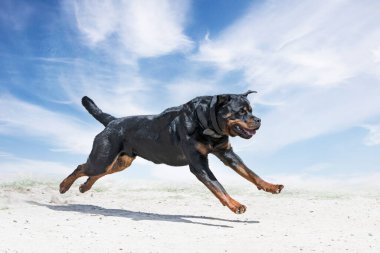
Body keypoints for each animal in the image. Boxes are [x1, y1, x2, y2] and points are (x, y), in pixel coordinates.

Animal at [59, 91, 284, 213]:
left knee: (96, 172)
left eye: (252, 111)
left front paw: (271, 186)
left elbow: (251, 173)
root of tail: (112, 121)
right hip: (103, 157)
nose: (259, 120)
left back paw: (84, 187)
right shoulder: (198, 164)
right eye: (241, 112)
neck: (207, 124)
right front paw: (235, 205)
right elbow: (217, 185)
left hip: (121, 162)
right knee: (82, 167)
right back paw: (63, 186)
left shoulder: (228, 154)